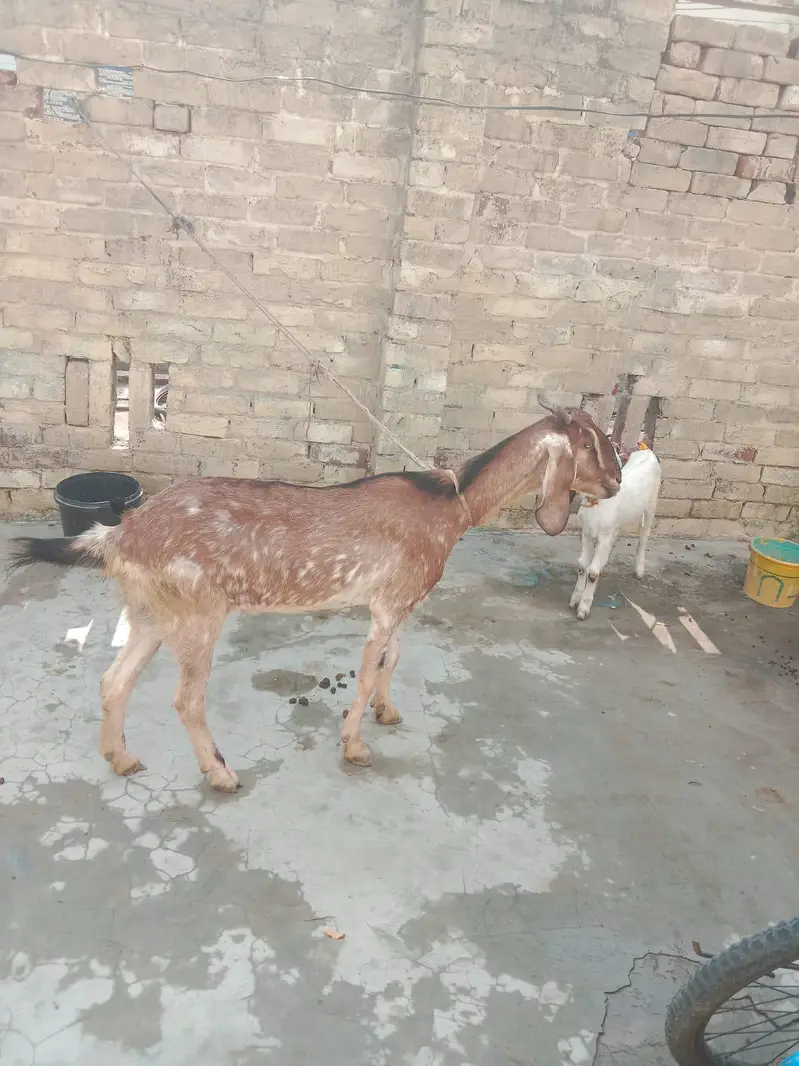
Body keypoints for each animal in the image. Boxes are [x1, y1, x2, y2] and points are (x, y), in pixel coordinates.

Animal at [10, 395, 620, 792]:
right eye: (590, 441)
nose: (616, 483)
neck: (451, 505)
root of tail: (117, 534)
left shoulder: (401, 604)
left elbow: (393, 659)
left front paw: (387, 713)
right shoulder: (387, 604)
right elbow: (370, 668)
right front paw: (354, 745)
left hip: (150, 612)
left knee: (114, 682)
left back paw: (121, 760)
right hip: (199, 614)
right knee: (185, 699)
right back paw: (221, 774)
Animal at [569, 445, 662, 621]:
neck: (597, 503)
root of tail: (647, 451)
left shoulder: (604, 534)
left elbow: (592, 572)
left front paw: (583, 609)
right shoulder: (587, 532)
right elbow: (583, 565)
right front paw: (575, 598)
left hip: (651, 506)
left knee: (644, 535)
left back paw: (639, 570)